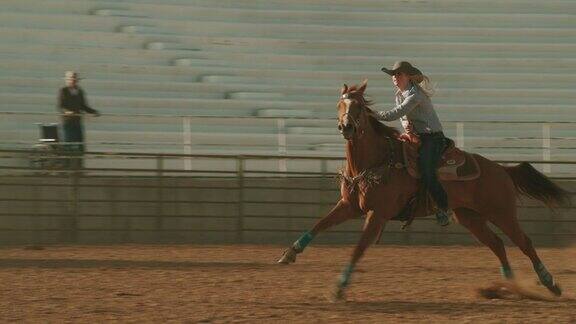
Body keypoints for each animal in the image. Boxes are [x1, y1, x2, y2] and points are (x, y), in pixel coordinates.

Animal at [276, 79, 568, 300]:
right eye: (340, 103)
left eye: (358, 106)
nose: (346, 126)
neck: (374, 160)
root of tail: (502, 169)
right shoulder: (350, 207)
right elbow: (319, 224)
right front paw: (289, 254)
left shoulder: (377, 214)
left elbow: (358, 248)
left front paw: (339, 287)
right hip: (470, 217)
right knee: (496, 243)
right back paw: (509, 285)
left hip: (502, 212)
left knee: (524, 242)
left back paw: (549, 283)